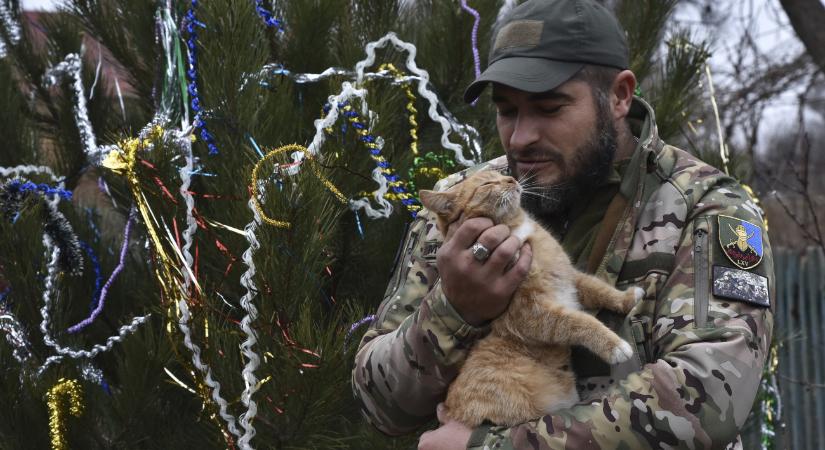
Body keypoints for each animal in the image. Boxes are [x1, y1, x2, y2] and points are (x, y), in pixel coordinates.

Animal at [418, 169, 644, 426]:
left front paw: (628, 298)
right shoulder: (531, 314)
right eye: (487, 183)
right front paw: (614, 346)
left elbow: (599, 289)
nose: (511, 180)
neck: (517, 230)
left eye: (499, 175)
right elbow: (580, 322)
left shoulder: (570, 278)